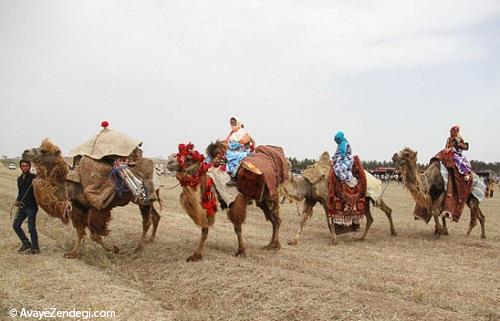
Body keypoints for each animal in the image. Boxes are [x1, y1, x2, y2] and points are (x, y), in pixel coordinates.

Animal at [22, 138, 161, 258]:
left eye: (43, 151)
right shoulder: (78, 207)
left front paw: (114, 249)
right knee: (155, 216)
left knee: (146, 221)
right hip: (145, 199)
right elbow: (79, 231)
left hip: (142, 199)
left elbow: (94, 235)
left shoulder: (98, 206)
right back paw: (150, 240)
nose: (25, 152)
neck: (73, 184)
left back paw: (138, 248)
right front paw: (72, 253)